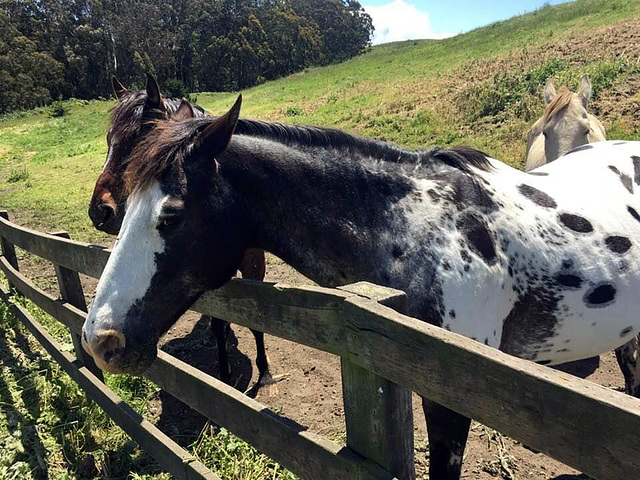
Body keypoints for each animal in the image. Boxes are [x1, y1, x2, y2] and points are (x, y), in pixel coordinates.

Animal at [86, 76, 274, 390]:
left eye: (142, 143)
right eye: (109, 140)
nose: (99, 212)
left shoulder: (252, 265)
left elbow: (257, 323)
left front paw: (265, 372)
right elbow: (218, 324)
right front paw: (225, 375)